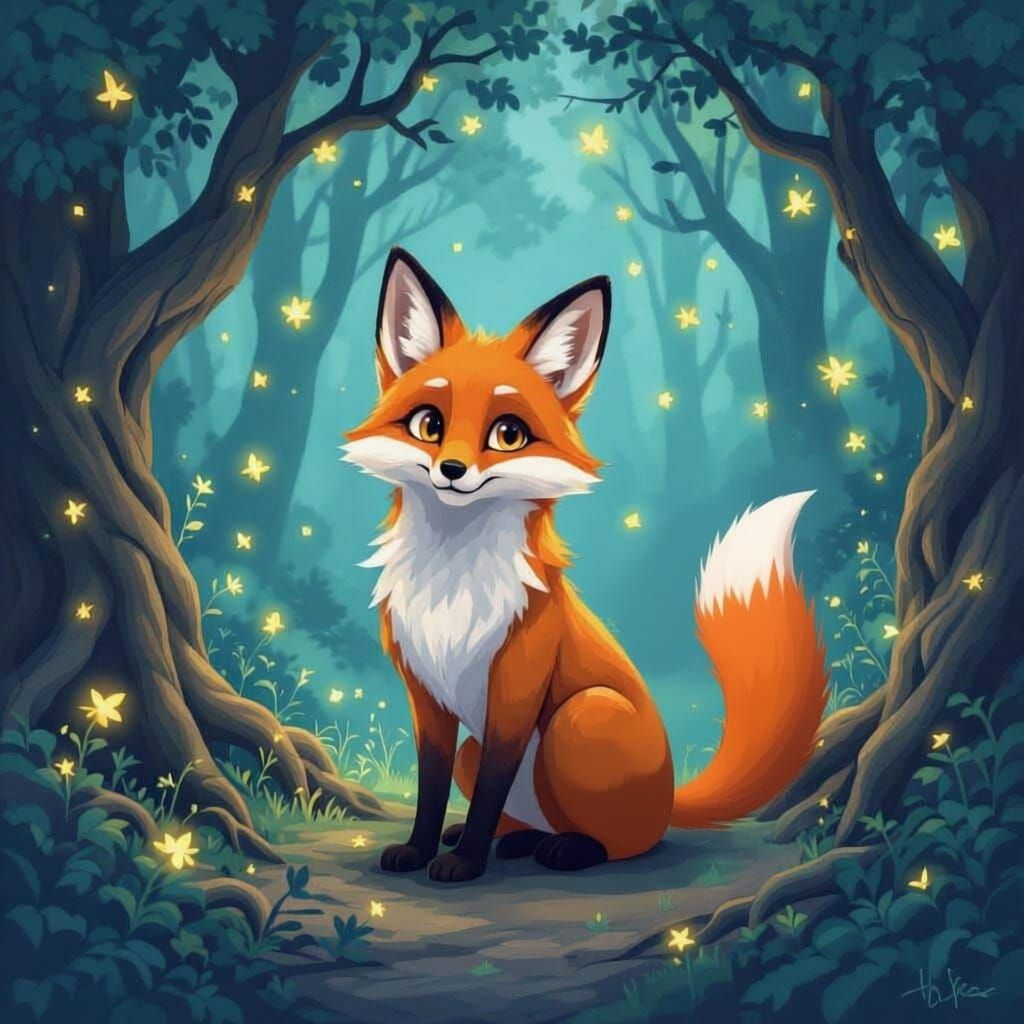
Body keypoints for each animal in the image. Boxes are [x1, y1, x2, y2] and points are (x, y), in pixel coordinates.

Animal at [342, 248, 828, 883]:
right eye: (429, 424)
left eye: (508, 434)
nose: (451, 470)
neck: (453, 582)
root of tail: (673, 798)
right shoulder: (427, 696)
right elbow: (431, 788)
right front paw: (421, 849)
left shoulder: (516, 691)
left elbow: (491, 788)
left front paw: (465, 863)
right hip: (501, 746)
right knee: (530, 817)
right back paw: (517, 840)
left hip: (579, 720)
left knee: (623, 842)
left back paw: (566, 850)